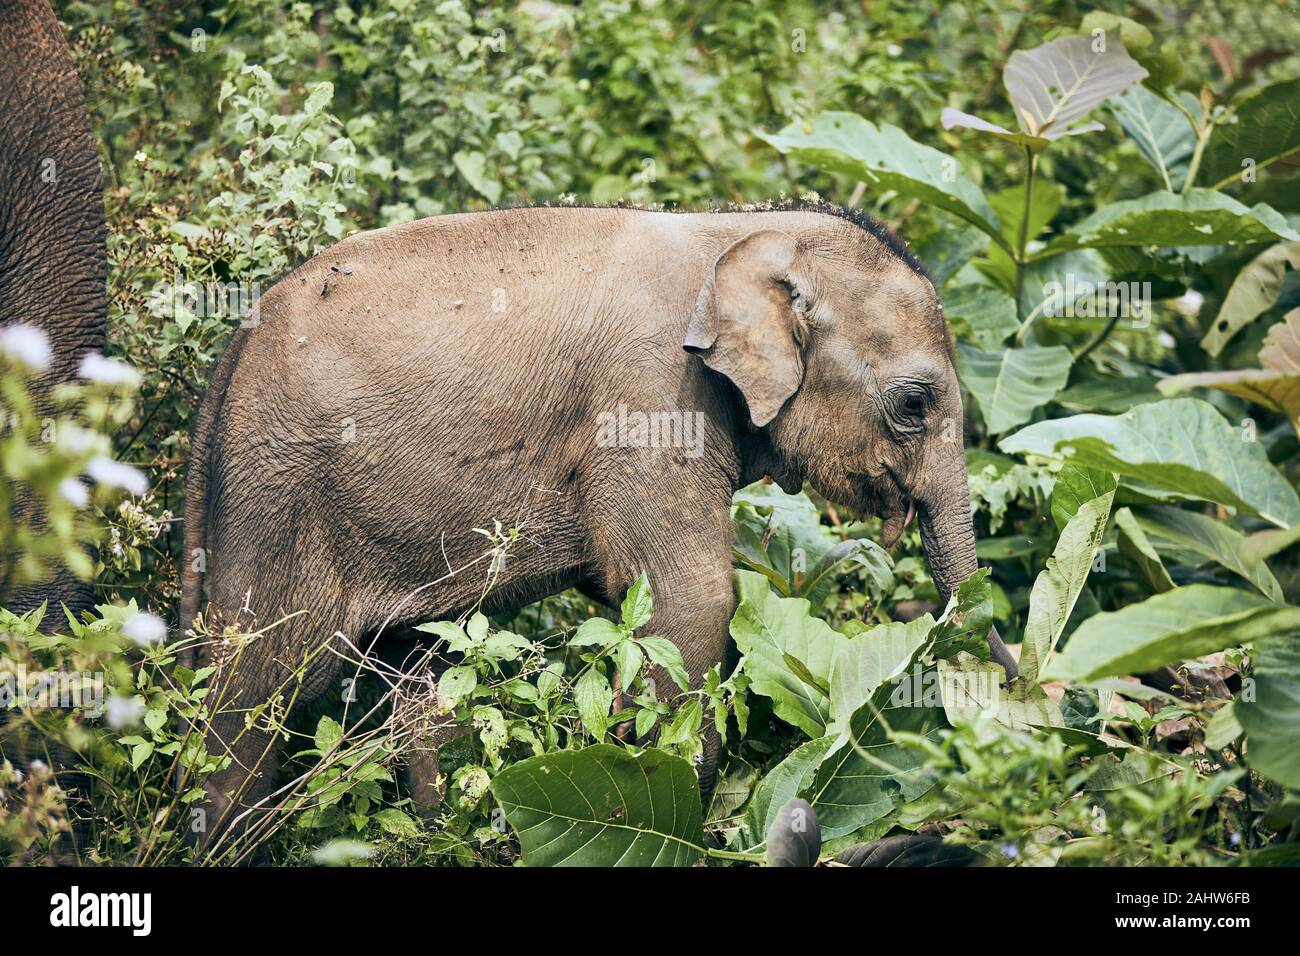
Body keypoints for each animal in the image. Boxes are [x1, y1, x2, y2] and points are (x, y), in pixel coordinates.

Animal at [180, 200, 1018, 843]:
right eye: (914, 403)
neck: (739, 229)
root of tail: (229, 356)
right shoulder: (648, 399)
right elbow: (692, 603)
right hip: (278, 491)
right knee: (257, 690)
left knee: (417, 678)